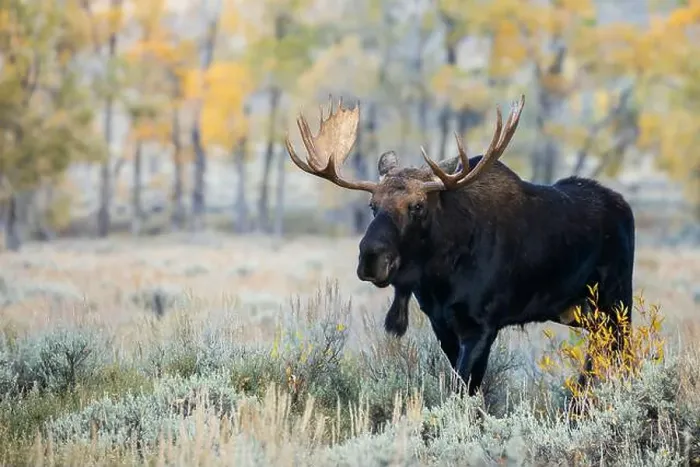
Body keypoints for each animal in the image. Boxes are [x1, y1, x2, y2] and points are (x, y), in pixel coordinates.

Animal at [284, 95, 635, 396]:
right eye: (373, 205)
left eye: (417, 206)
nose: (371, 258)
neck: (439, 276)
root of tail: (624, 207)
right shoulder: (440, 322)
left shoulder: (482, 324)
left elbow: (464, 389)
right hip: (579, 312)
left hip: (617, 302)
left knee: (622, 355)